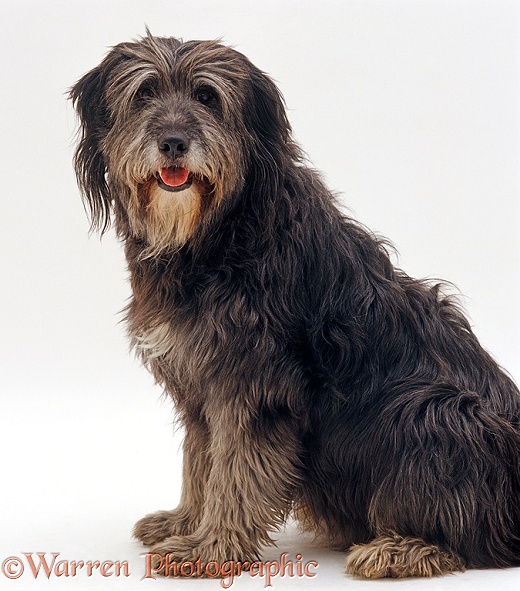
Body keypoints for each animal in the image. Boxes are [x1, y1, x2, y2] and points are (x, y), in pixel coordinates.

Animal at [70, 31, 520, 580]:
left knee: (471, 535)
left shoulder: (256, 381)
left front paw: (212, 548)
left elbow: (235, 470)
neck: (221, 232)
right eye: (145, 93)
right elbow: (201, 461)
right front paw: (184, 522)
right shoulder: (199, 381)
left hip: (433, 408)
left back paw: (401, 548)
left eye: (206, 97)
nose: (173, 143)